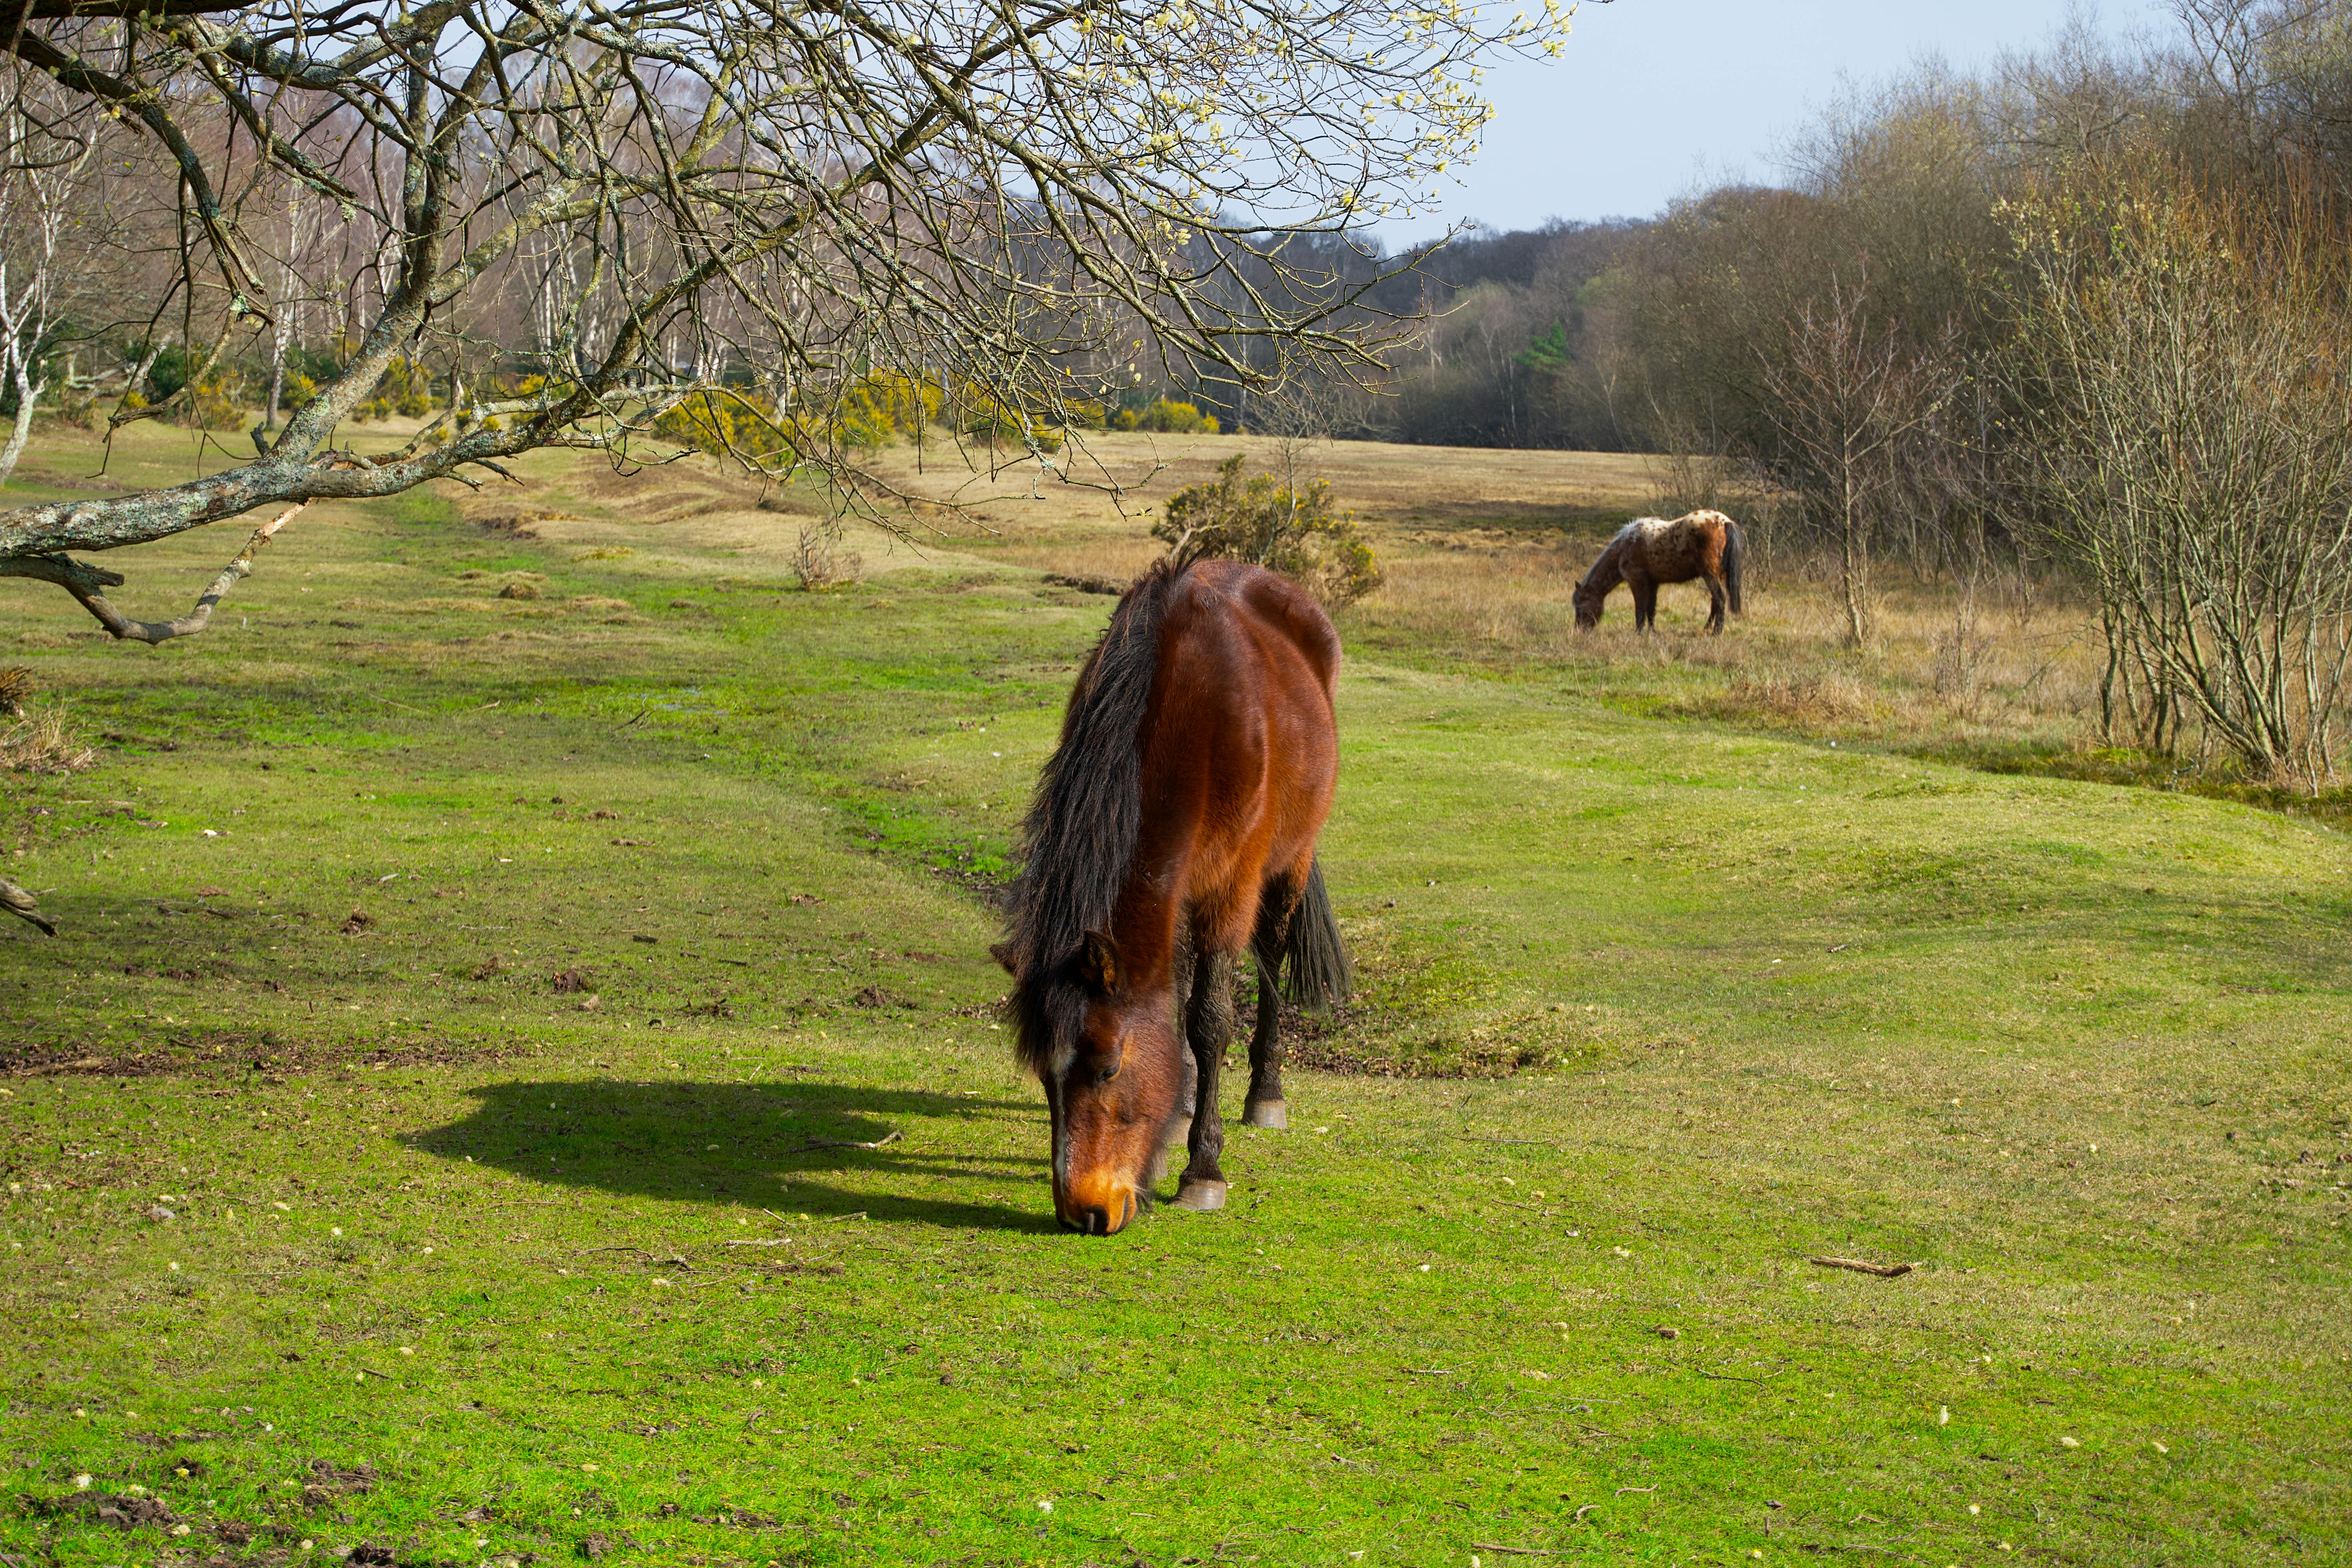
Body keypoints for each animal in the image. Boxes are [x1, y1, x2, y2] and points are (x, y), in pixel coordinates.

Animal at [997, 557, 1364, 1232]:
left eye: (1108, 1068)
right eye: (1042, 1077)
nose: (1084, 1213)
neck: (1190, 718)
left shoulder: (1231, 892)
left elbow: (1210, 1019)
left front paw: (1204, 1169)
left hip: (1289, 864)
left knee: (1270, 957)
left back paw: (1265, 1093)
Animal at [1571, 515, 1740, 639]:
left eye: (1580, 608)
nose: (1579, 632)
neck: (1625, 547)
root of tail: (1725, 521)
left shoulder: (1637, 582)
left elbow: (1640, 610)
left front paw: (1638, 634)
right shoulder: (1653, 583)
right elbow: (1651, 609)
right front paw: (1652, 632)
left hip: (1709, 574)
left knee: (1720, 599)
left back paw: (1716, 633)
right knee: (1715, 601)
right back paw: (1707, 628)